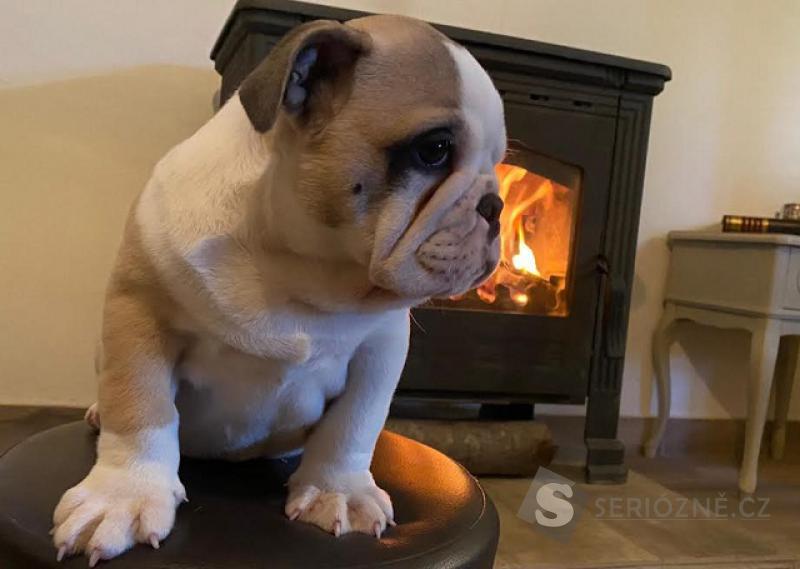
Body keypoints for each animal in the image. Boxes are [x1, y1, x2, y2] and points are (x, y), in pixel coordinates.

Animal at [52, 14, 506, 565]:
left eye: (498, 162)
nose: (496, 205)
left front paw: (339, 490)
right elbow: (140, 407)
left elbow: (354, 423)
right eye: (434, 150)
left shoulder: (381, 350)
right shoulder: (138, 312)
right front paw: (125, 496)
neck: (297, 266)